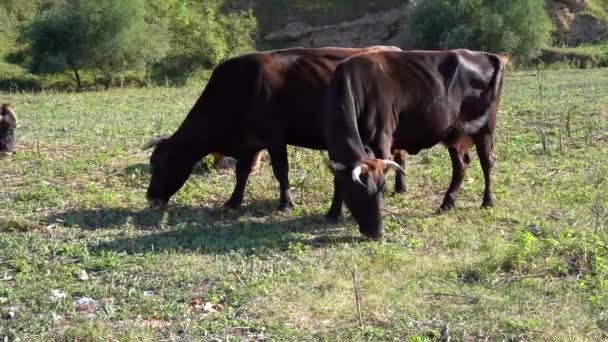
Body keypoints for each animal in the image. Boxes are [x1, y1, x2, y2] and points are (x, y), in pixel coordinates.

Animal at [144, 45, 406, 211]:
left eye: (160, 164)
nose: (150, 198)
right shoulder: (249, 143)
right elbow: (242, 173)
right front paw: (233, 202)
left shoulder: (275, 138)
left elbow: (281, 171)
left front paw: (286, 203)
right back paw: (400, 188)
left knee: (398, 156)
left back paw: (401, 188)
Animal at [326, 49, 506, 239]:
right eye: (358, 192)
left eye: (380, 189)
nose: (377, 232)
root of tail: (484, 54)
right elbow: (337, 181)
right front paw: (332, 212)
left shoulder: (381, 142)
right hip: (454, 136)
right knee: (461, 166)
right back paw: (447, 204)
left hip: (484, 130)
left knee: (487, 164)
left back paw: (487, 201)